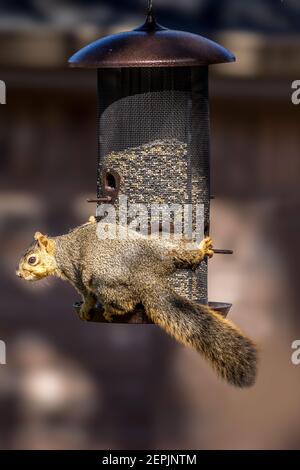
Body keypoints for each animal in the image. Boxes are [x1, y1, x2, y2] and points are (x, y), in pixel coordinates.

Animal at [16, 216, 256, 386]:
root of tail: (146, 277)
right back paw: (200, 249)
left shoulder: (74, 273)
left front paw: (85, 308)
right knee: (178, 252)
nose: (19, 275)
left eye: (32, 260)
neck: (62, 247)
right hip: (161, 247)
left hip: (103, 282)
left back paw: (112, 311)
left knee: (124, 303)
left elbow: (87, 296)